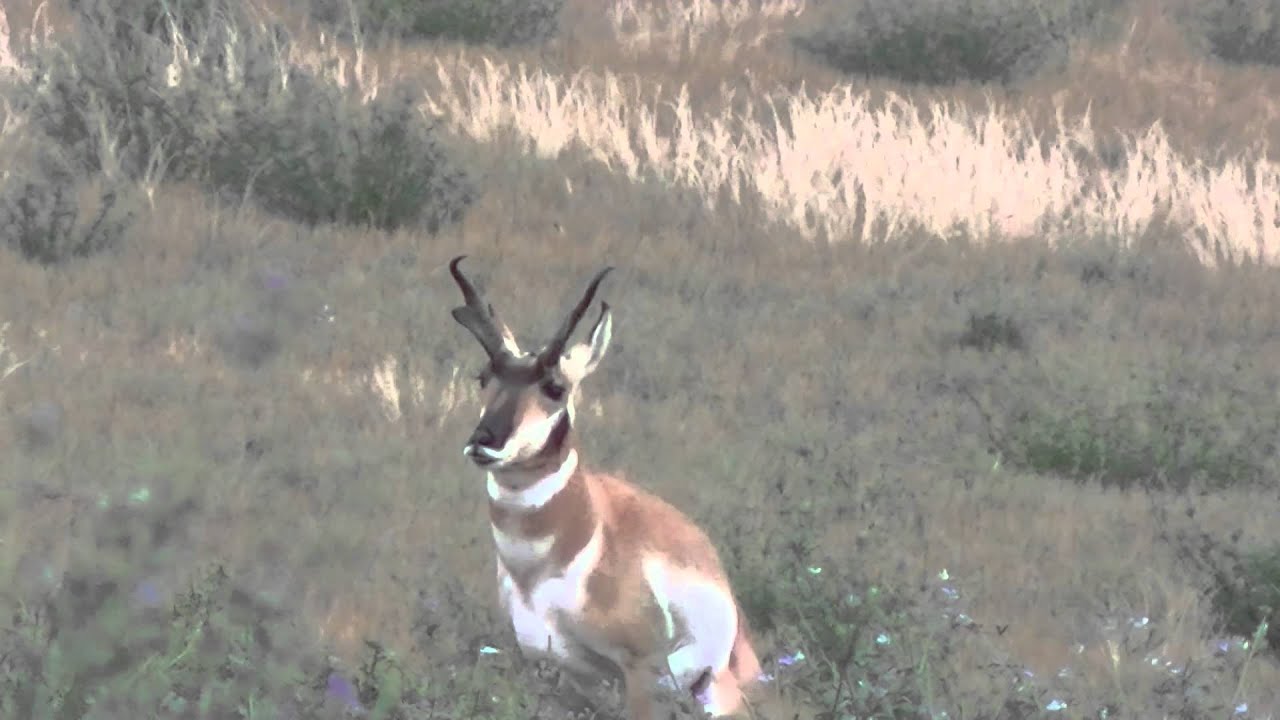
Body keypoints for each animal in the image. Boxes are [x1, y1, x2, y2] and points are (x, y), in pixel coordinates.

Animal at [447, 256, 761, 719]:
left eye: (555, 387)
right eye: (483, 376)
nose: (484, 440)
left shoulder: (640, 672)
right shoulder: (556, 671)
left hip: (716, 690)